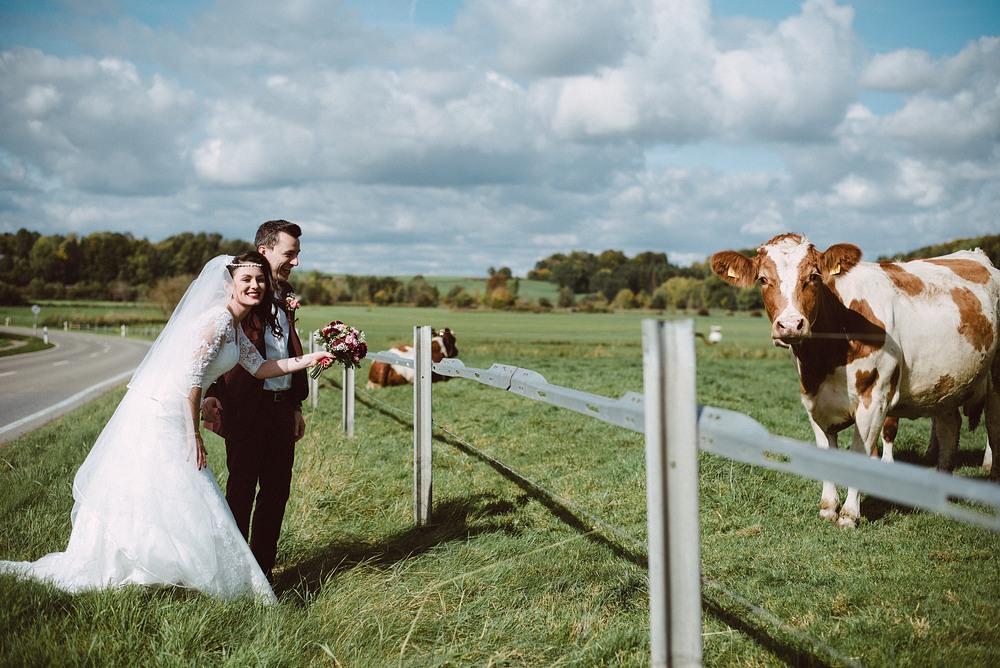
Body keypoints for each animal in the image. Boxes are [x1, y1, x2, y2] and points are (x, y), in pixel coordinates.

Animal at [712, 234, 1000, 528]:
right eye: (763, 279)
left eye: (814, 276)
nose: (791, 325)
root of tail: (975, 255)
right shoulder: (814, 401)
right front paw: (828, 508)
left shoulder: (875, 399)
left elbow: (860, 453)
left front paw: (849, 514)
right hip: (945, 383)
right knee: (948, 427)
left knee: (993, 427)